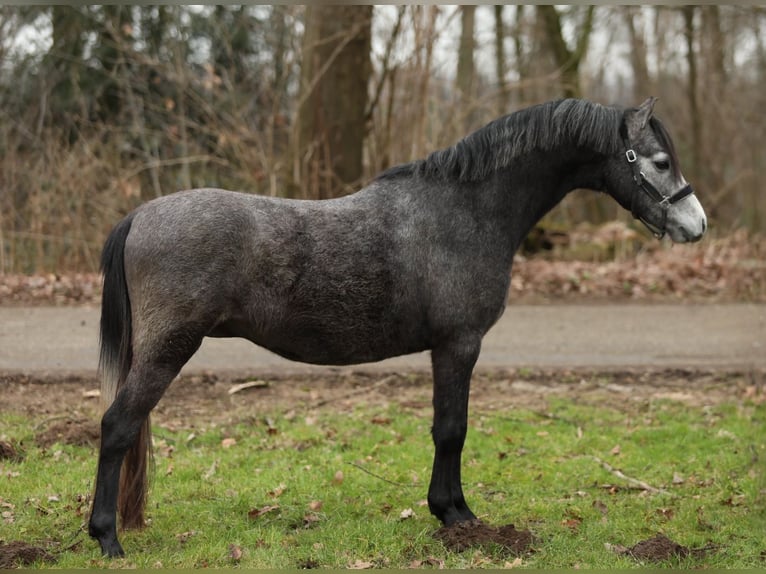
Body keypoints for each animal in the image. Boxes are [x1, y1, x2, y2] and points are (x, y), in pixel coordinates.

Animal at [88, 97, 706, 557]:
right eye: (658, 161)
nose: (695, 225)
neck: (466, 210)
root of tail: (139, 215)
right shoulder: (458, 345)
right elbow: (452, 429)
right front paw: (456, 516)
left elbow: (446, 428)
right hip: (169, 349)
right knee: (118, 426)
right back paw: (107, 538)